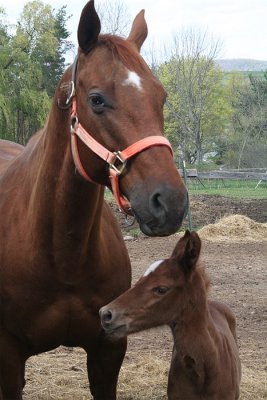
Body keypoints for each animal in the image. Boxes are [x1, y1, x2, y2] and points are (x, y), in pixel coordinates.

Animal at [0, 1, 188, 398]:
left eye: (161, 97)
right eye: (97, 100)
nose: (170, 202)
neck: (61, 254)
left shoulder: (108, 349)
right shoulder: (7, 355)